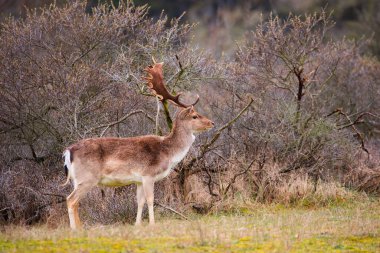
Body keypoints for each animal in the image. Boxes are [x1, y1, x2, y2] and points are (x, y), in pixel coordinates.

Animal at [62, 60, 214, 229]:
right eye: (195, 116)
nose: (211, 122)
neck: (168, 152)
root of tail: (68, 151)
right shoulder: (148, 174)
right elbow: (150, 199)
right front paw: (152, 224)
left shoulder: (138, 179)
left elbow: (139, 202)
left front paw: (137, 224)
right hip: (87, 177)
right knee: (71, 200)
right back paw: (75, 229)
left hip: (77, 179)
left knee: (73, 201)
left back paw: (80, 228)